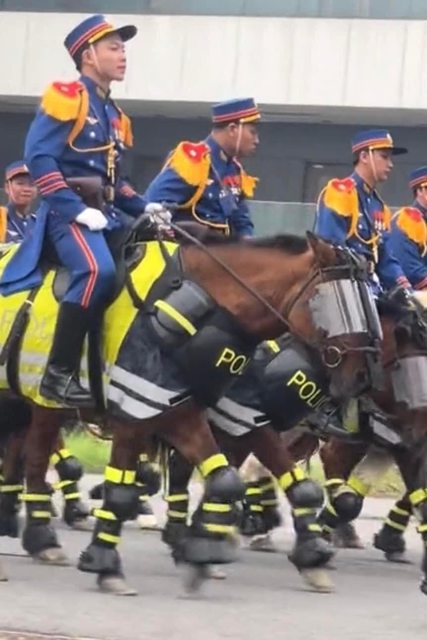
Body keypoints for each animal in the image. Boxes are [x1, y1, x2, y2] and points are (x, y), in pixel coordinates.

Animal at [0, 231, 381, 594]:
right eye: (338, 304)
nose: (363, 377)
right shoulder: (145, 408)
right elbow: (124, 491)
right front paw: (107, 563)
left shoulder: (233, 416)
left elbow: (263, 482)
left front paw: (307, 556)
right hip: (44, 405)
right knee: (36, 464)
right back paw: (42, 535)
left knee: (26, 461)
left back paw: (33, 533)